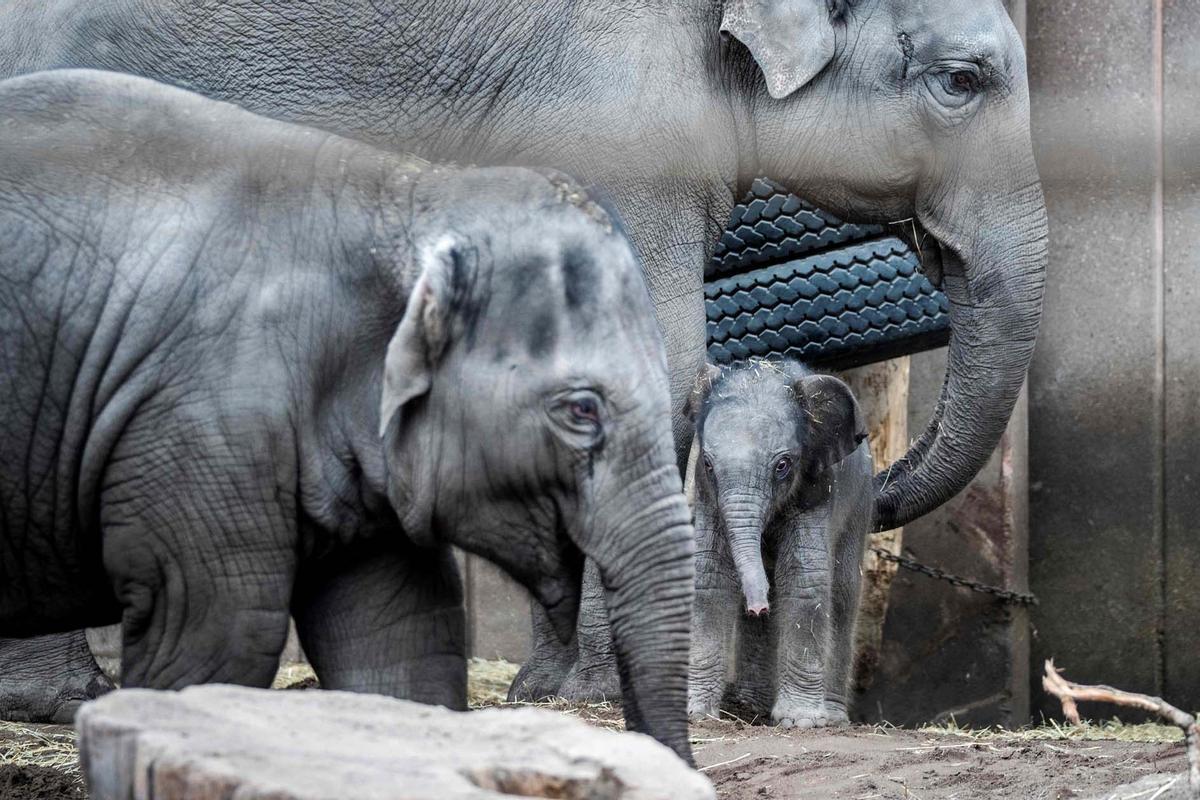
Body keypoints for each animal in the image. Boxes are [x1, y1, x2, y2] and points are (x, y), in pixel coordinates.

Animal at [686, 362, 873, 734]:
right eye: (710, 465)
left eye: (783, 465)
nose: (759, 606)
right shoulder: (706, 492)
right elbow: (711, 576)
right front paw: (695, 714)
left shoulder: (819, 486)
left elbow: (803, 578)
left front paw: (801, 721)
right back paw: (750, 706)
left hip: (860, 501)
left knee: (843, 593)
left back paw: (832, 717)